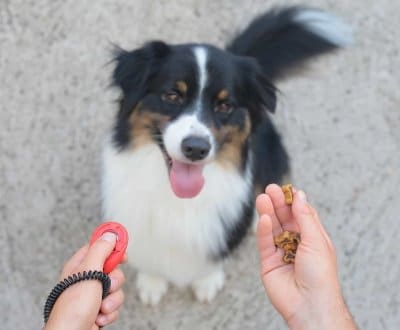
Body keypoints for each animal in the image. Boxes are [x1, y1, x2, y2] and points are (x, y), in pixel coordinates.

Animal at [102, 5, 350, 304]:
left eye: (224, 105)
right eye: (172, 95)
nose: (196, 148)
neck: (178, 199)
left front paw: (207, 281)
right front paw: (152, 282)